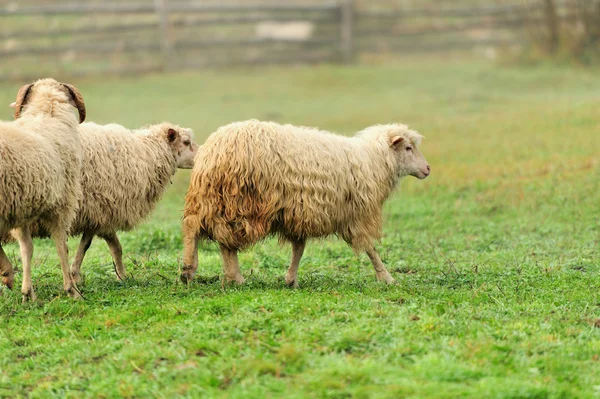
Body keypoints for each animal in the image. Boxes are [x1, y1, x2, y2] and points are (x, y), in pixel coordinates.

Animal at [0, 79, 86, 304]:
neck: (48, 114)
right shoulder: (63, 205)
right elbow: (61, 246)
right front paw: (71, 289)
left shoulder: (20, 209)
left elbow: (26, 248)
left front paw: (27, 292)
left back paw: (7, 272)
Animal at [2, 120, 199, 282]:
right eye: (186, 142)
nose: (201, 155)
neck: (145, 155)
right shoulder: (101, 210)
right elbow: (101, 246)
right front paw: (116, 276)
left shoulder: (99, 214)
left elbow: (109, 246)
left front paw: (117, 276)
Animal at [180, 119, 428, 288]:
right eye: (408, 148)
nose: (427, 169)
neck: (373, 161)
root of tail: (211, 150)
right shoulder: (356, 215)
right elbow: (370, 248)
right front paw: (386, 277)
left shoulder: (298, 212)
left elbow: (299, 248)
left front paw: (291, 279)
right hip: (238, 199)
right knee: (203, 230)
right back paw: (191, 269)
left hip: (216, 199)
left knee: (216, 237)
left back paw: (226, 276)